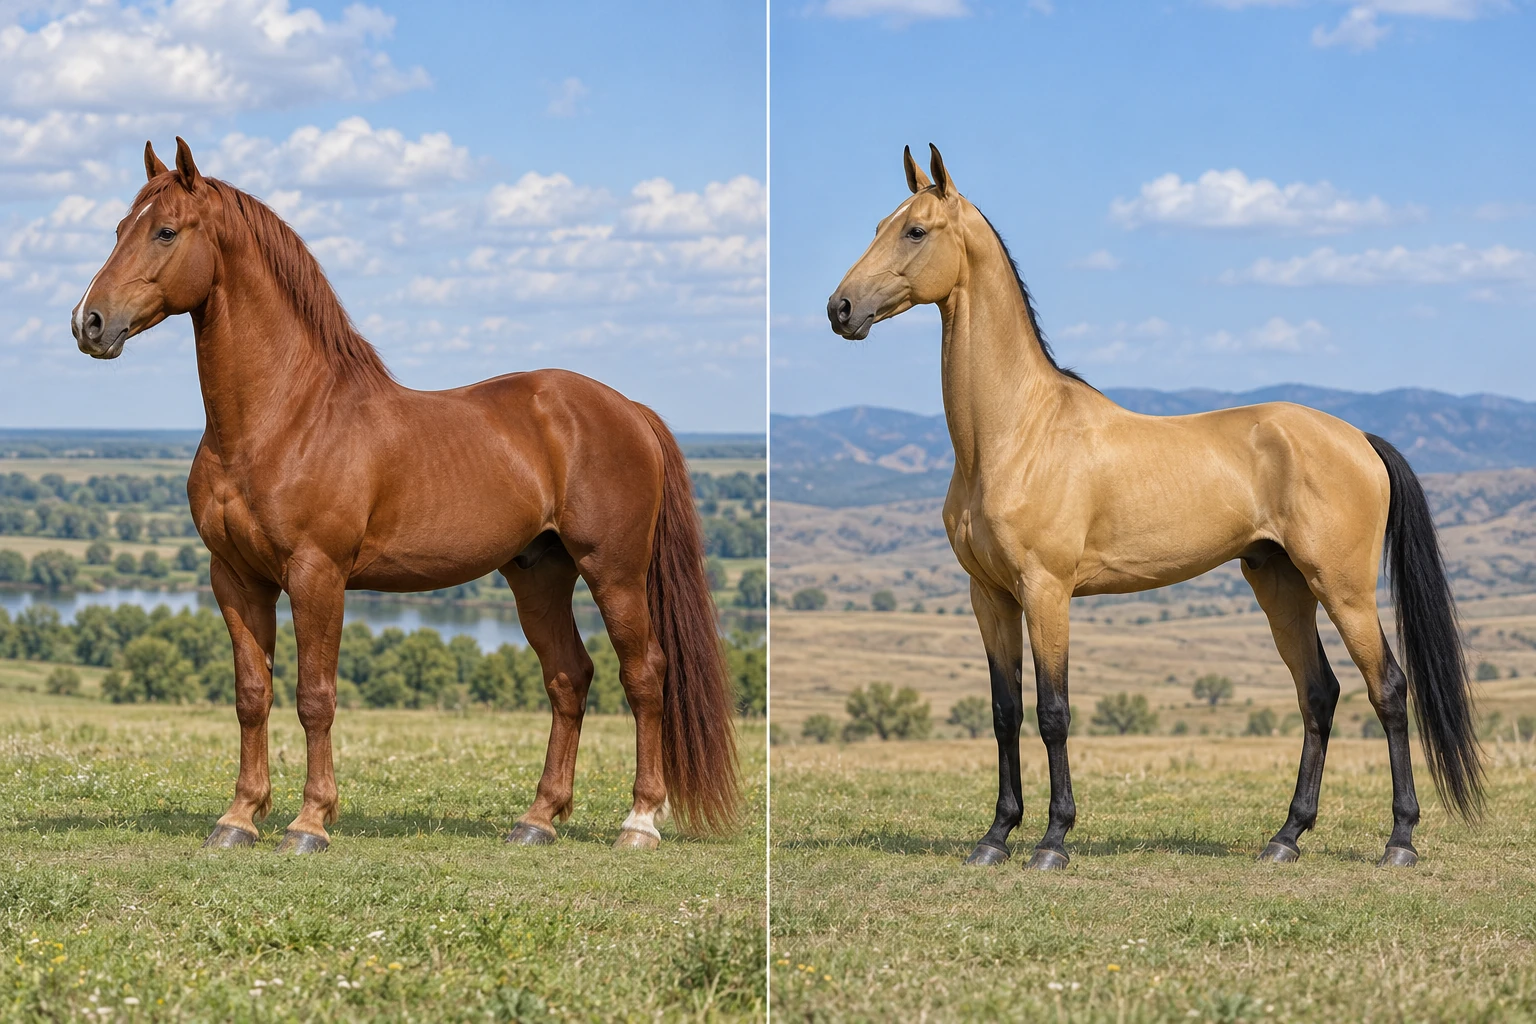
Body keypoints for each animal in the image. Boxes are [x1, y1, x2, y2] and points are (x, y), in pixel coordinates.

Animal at [70, 138, 740, 854]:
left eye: (165, 231)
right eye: (119, 228)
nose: (89, 322)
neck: (282, 418)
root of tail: (627, 409)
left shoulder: (317, 576)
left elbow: (315, 697)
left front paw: (310, 823)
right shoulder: (236, 578)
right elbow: (252, 695)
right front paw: (239, 818)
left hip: (613, 571)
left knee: (644, 675)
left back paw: (639, 822)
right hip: (539, 574)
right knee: (569, 678)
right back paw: (537, 819)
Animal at [825, 145, 1481, 870]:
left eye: (915, 231)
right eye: (878, 225)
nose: (840, 308)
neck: (1016, 432)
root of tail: (1358, 438)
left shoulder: (1046, 591)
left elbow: (1053, 712)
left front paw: (1052, 841)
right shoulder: (989, 595)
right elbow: (1003, 713)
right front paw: (995, 837)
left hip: (1344, 588)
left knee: (1387, 689)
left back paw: (1400, 841)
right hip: (1280, 584)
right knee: (1319, 695)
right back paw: (1285, 838)